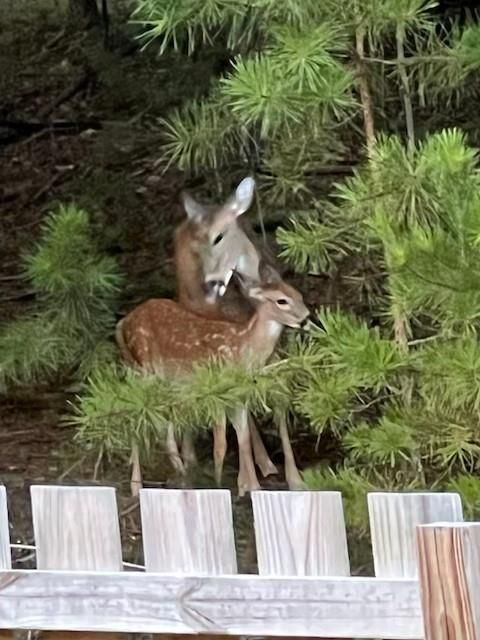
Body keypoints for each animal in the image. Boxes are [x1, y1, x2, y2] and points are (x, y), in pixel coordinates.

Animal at [118, 276, 310, 496]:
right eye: (281, 301)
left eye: (299, 295)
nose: (306, 318)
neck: (242, 348)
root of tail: (123, 322)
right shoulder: (216, 392)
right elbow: (221, 445)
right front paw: (221, 485)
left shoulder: (236, 396)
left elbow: (243, 438)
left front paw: (251, 488)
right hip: (142, 371)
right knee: (136, 420)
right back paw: (138, 485)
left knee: (164, 428)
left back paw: (183, 475)